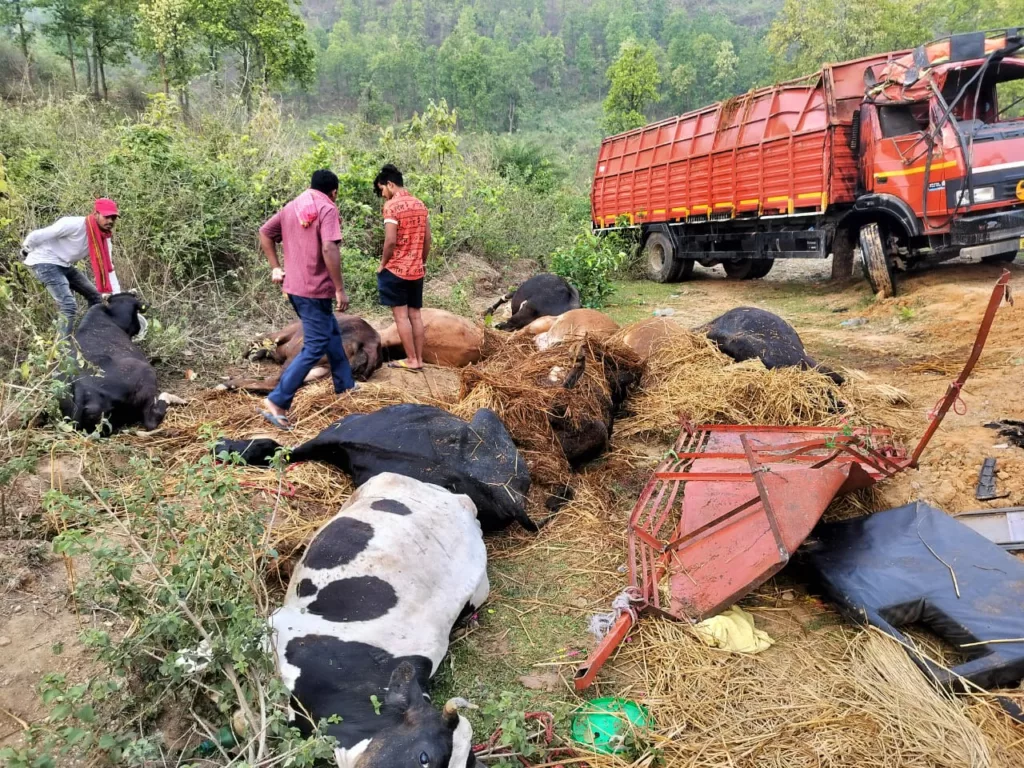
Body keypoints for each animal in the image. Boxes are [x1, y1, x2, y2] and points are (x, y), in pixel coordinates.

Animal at [218, 313, 382, 393]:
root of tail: (369, 344)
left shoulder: (282, 335)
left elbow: (260, 338)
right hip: (321, 371)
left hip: (299, 357)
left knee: (275, 381)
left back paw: (226, 384)